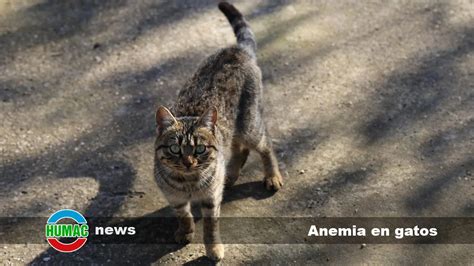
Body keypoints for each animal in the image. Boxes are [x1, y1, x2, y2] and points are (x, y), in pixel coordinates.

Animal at [154, 1, 284, 260]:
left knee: (265, 145)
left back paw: (271, 175)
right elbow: (183, 215)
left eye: (200, 149)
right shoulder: (174, 198)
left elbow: (210, 227)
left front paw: (213, 248)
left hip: (250, 125)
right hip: (233, 129)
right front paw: (185, 231)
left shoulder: (211, 199)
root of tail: (235, 49)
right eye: (174, 149)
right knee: (239, 150)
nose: (188, 162)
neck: (188, 183)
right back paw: (230, 174)